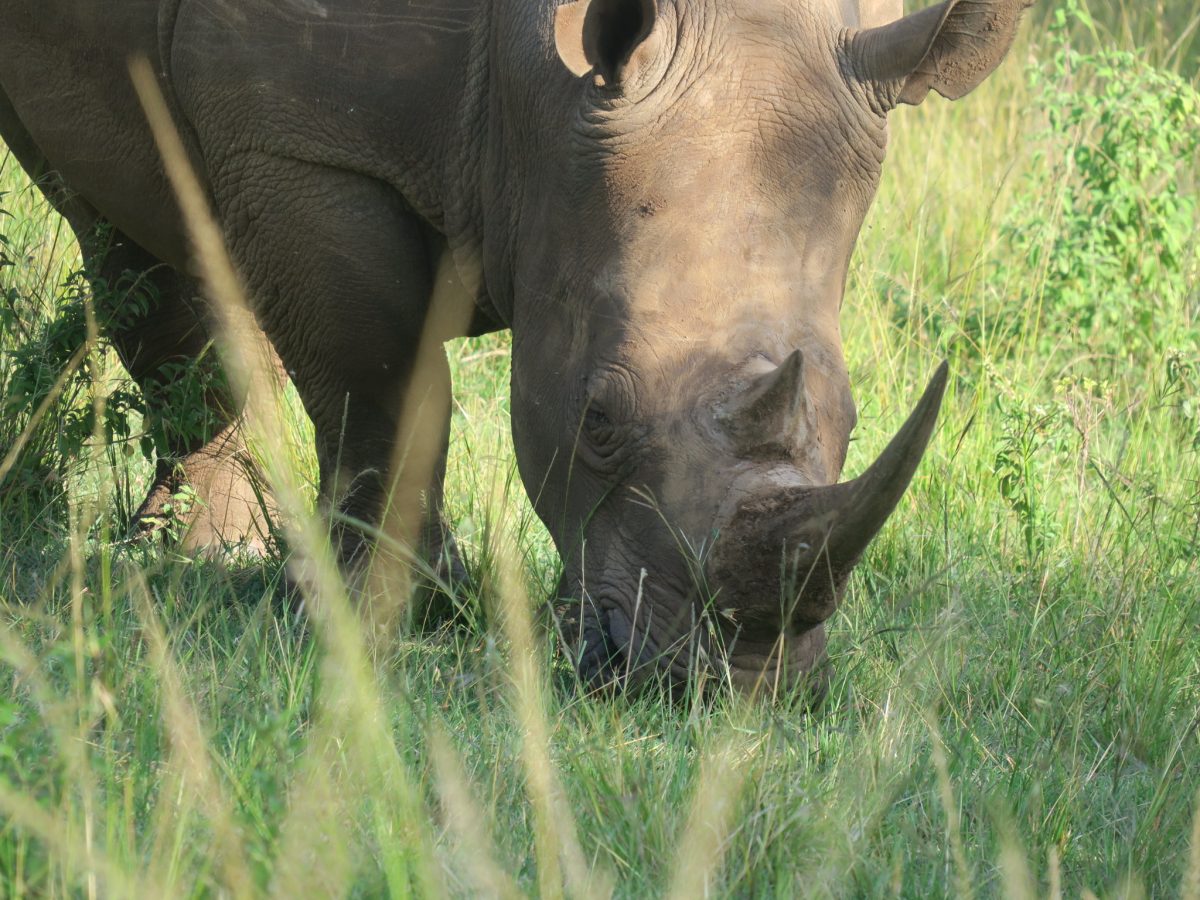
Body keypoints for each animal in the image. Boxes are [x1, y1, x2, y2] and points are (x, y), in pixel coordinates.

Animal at [0, 0, 1031, 694]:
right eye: (598, 419)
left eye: (849, 419)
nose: (742, 686)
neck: (531, 72)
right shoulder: (300, 142)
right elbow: (380, 377)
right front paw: (394, 610)